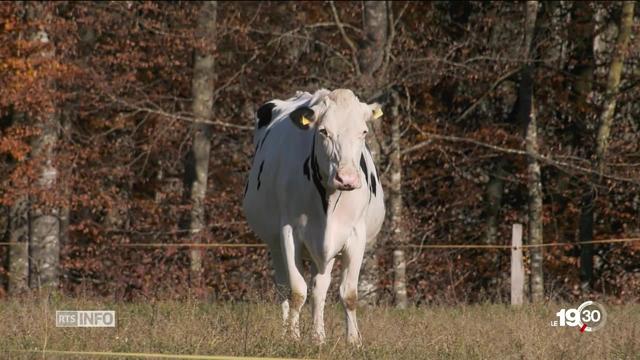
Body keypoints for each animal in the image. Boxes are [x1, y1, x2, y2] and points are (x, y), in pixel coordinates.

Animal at [242, 88, 384, 346]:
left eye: (364, 132)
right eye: (324, 131)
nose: (347, 178)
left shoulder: (355, 235)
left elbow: (348, 294)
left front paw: (353, 341)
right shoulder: (289, 233)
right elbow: (297, 291)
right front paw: (293, 337)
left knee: (320, 287)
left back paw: (318, 337)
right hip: (275, 244)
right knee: (283, 288)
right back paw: (290, 332)